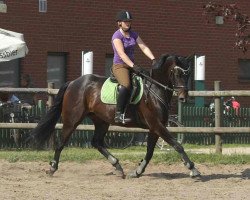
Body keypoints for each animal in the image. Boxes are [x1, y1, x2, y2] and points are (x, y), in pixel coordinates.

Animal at [29, 54, 201, 179]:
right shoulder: (157, 125)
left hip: (101, 120)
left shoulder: (155, 128)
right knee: (61, 143)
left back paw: (117, 166)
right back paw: (52, 168)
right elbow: (176, 145)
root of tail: (73, 83)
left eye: (189, 74)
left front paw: (137, 171)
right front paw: (193, 169)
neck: (155, 91)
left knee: (97, 142)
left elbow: (150, 151)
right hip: (72, 120)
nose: (183, 97)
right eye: (177, 73)